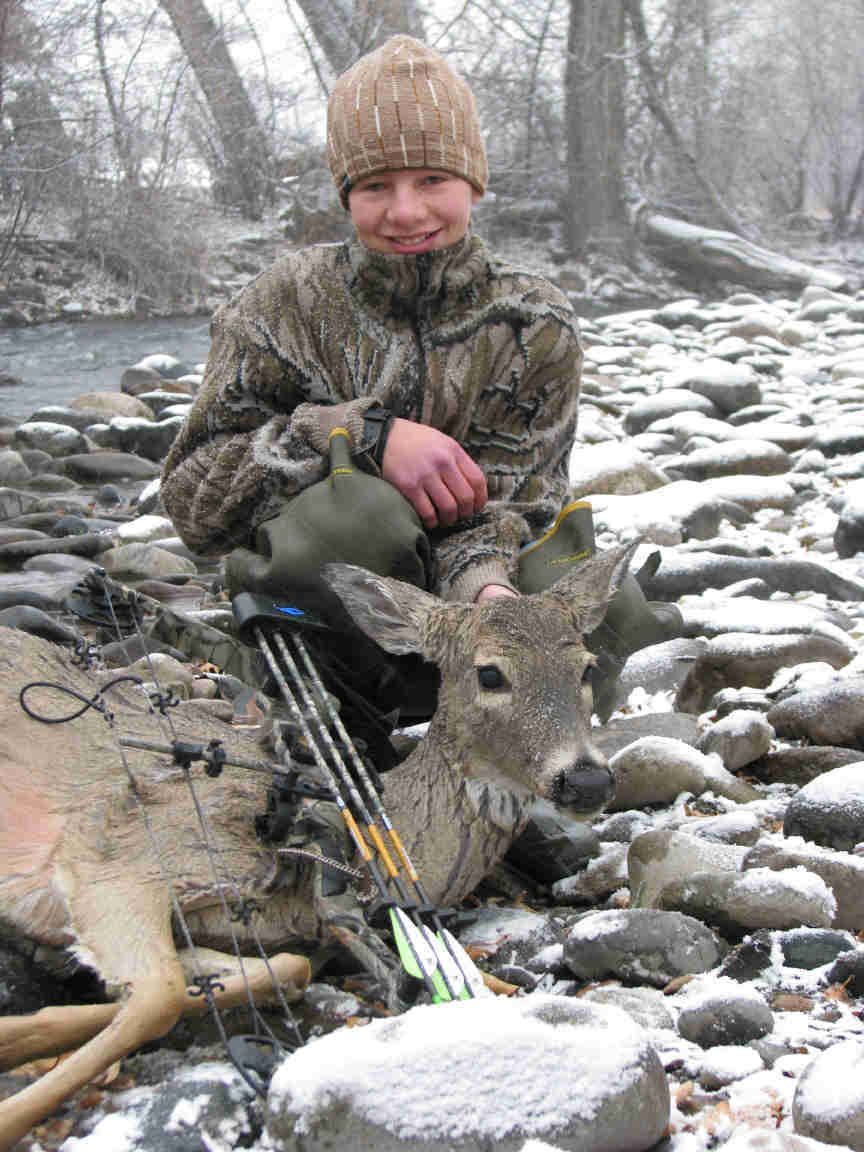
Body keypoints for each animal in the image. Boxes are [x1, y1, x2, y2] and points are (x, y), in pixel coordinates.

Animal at [0, 542, 633, 1148]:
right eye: (490, 674)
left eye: (587, 667)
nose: (587, 780)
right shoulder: (116, 851)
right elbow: (160, 995)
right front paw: (13, 1110)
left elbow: (279, 969)